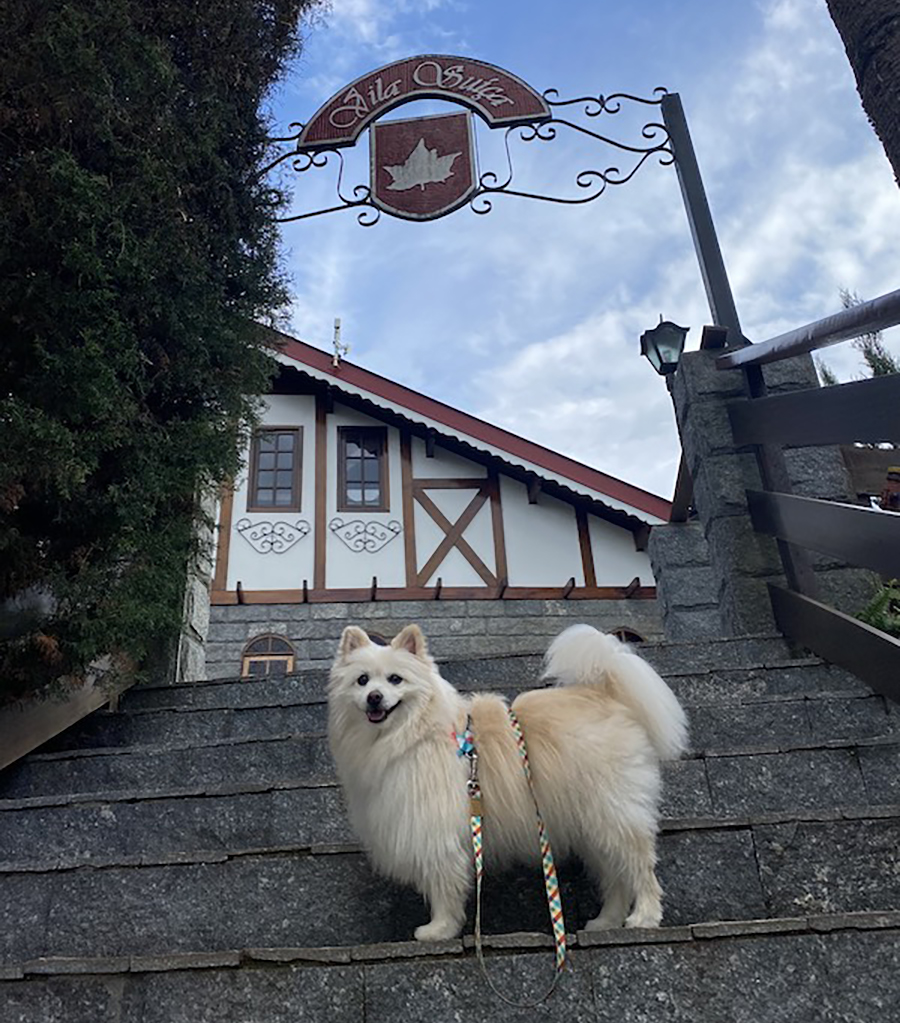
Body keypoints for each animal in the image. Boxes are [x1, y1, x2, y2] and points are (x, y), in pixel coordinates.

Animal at [327, 617, 687, 937]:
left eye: (395, 679)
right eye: (362, 680)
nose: (374, 697)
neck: (411, 734)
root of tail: (605, 694)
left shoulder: (434, 830)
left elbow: (443, 884)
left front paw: (439, 929)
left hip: (613, 814)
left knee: (640, 868)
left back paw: (645, 917)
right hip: (593, 826)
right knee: (616, 878)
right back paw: (607, 922)